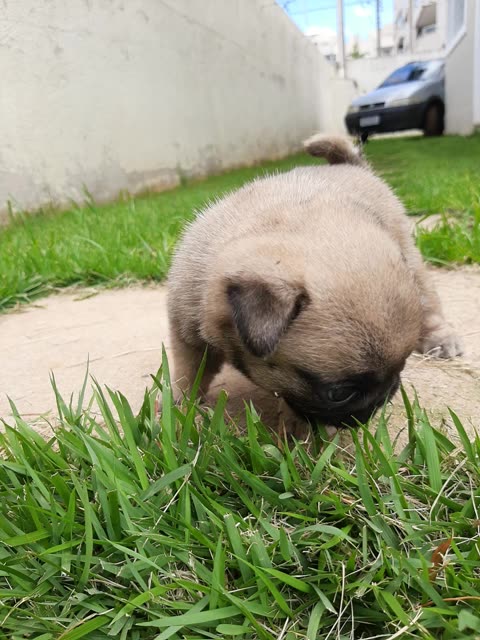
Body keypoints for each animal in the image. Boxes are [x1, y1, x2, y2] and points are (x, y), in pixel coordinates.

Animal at [167, 134, 462, 428]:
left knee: (429, 303)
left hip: (410, 258)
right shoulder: (186, 333)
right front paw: (181, 406)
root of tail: (351, 166)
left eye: (402, 365)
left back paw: (441, 339)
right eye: (339, 393)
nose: (385, 395)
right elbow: (188, 371)